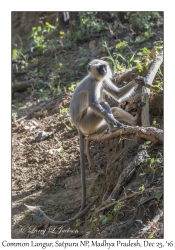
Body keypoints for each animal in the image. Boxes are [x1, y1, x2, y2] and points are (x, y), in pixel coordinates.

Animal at [25, 59, 146, 225]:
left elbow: (118, 94)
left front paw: (139, 79)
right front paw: (115, 123)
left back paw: (133, 121)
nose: (104, 71)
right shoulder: (92, 85)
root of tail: (77, 125)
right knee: (104, 105)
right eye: (100, 68)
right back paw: (114, 126)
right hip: (87, 122)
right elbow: (94, 104)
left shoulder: (102, 81)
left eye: (104, 67)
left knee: (113, 109)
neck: (95, 78)